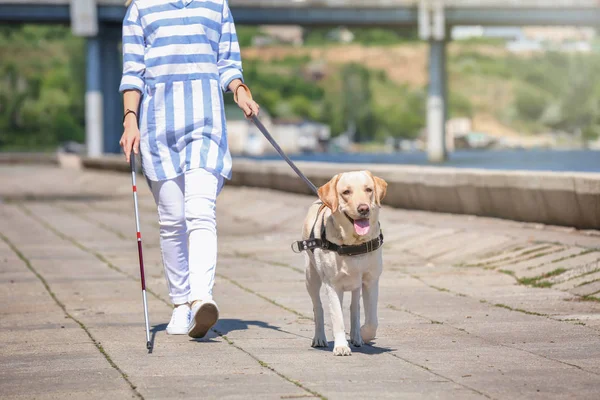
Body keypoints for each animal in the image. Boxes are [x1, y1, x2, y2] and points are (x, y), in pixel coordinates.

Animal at [302, 170, 386, 354]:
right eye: (346, 192)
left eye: (369, 189)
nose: (364, 208)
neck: (353, 244)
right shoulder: (332, 284)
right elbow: (337, 317)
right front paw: (341, 346)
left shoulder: (371, 280)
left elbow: (372, 319)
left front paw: (364, 334)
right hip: (311, 277)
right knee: (318, 307)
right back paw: (320, 337)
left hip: (355, 285)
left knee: (354, 306)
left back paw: (356, 336)